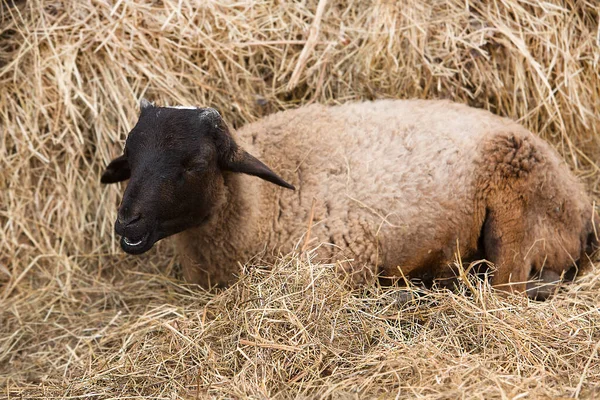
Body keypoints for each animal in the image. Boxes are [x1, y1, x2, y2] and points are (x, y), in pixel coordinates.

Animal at [101, 98, 596, 298]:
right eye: (130, 158)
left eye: (196, 163)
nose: (128, 223)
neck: (259, 206)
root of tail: (580, 206)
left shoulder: (345, 261)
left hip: (518, 211)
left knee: (510, 288)